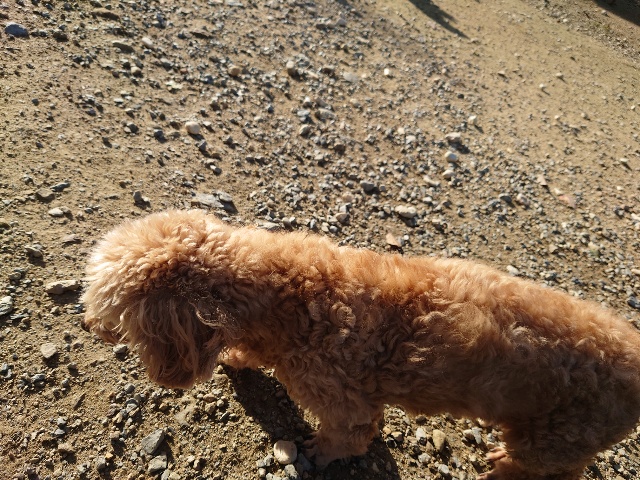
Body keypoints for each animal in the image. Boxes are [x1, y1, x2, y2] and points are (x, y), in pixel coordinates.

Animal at [82, 209, 640, 479]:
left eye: (114, 313)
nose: (89, 323)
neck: (287, 290)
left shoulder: (341, 397)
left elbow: (349, 437)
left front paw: (317, 453)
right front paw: (238, 361)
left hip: (557, 435)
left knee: (556, 469)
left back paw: (501, 469)